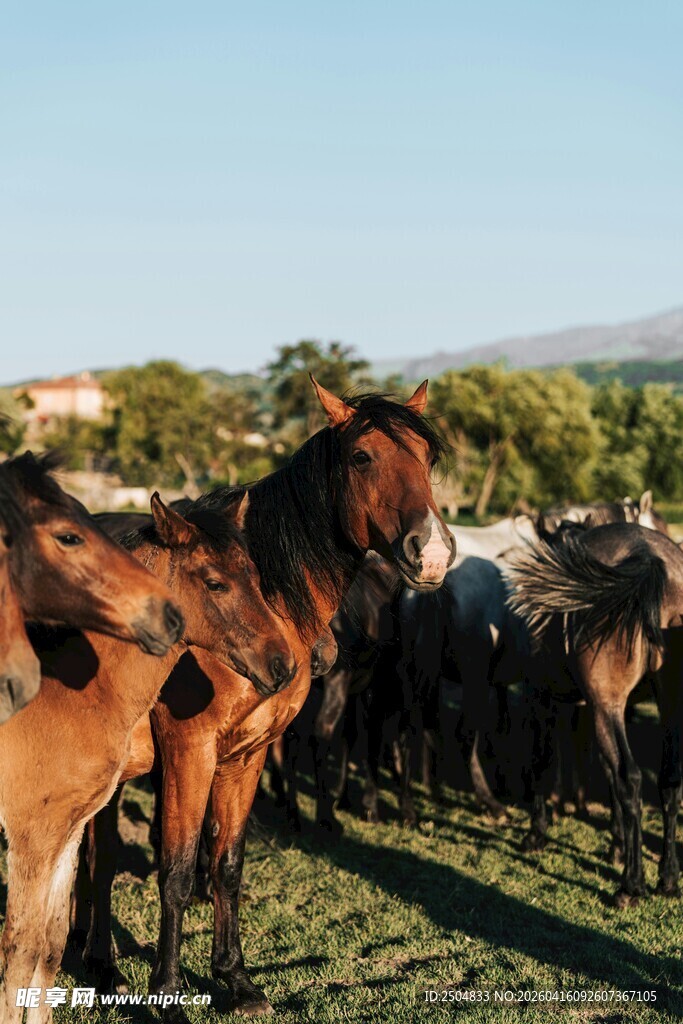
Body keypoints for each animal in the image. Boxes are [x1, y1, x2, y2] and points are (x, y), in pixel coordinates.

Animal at [0, 492, 295, 1023]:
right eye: (215, 582)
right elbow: (22, 949)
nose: (283, 665)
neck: (72, 692)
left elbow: (49, 947)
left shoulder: (67, 832)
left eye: (258, 577)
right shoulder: (32, 833)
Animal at [82, 378, 455, 1020]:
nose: (429, 555)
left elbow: (227, 863)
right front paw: (168, 995)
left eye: (427, 459)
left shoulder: (247, 753)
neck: (262, 603)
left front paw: (235, 979)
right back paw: (102, 967)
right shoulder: (190, 750)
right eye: (362, 457)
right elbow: (177, 871)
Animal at [507, 521, 683, 906]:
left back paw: (631, 885)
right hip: (665, 708)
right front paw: (616, 845)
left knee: (630, 778)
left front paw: (536, 833)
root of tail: (650, 557)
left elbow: (541, 761)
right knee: (669, 781)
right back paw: (667, 878)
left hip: (607, 704)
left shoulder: (539, 697)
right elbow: (604, 773)